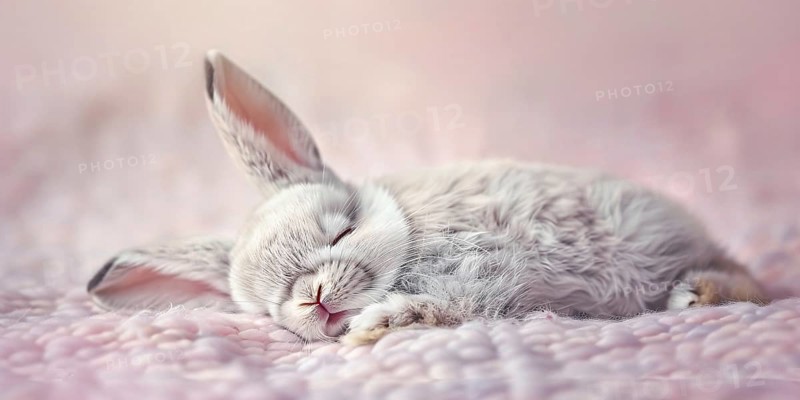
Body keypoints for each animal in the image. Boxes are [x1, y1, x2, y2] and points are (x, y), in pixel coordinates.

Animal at [87, 50, 767, 345]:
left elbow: (450, 304)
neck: (410, 237)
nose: (312, 300)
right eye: (264, 309)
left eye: (341, 231)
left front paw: (379, 325)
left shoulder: (484, 269)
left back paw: (698, 294)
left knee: (752, 283)